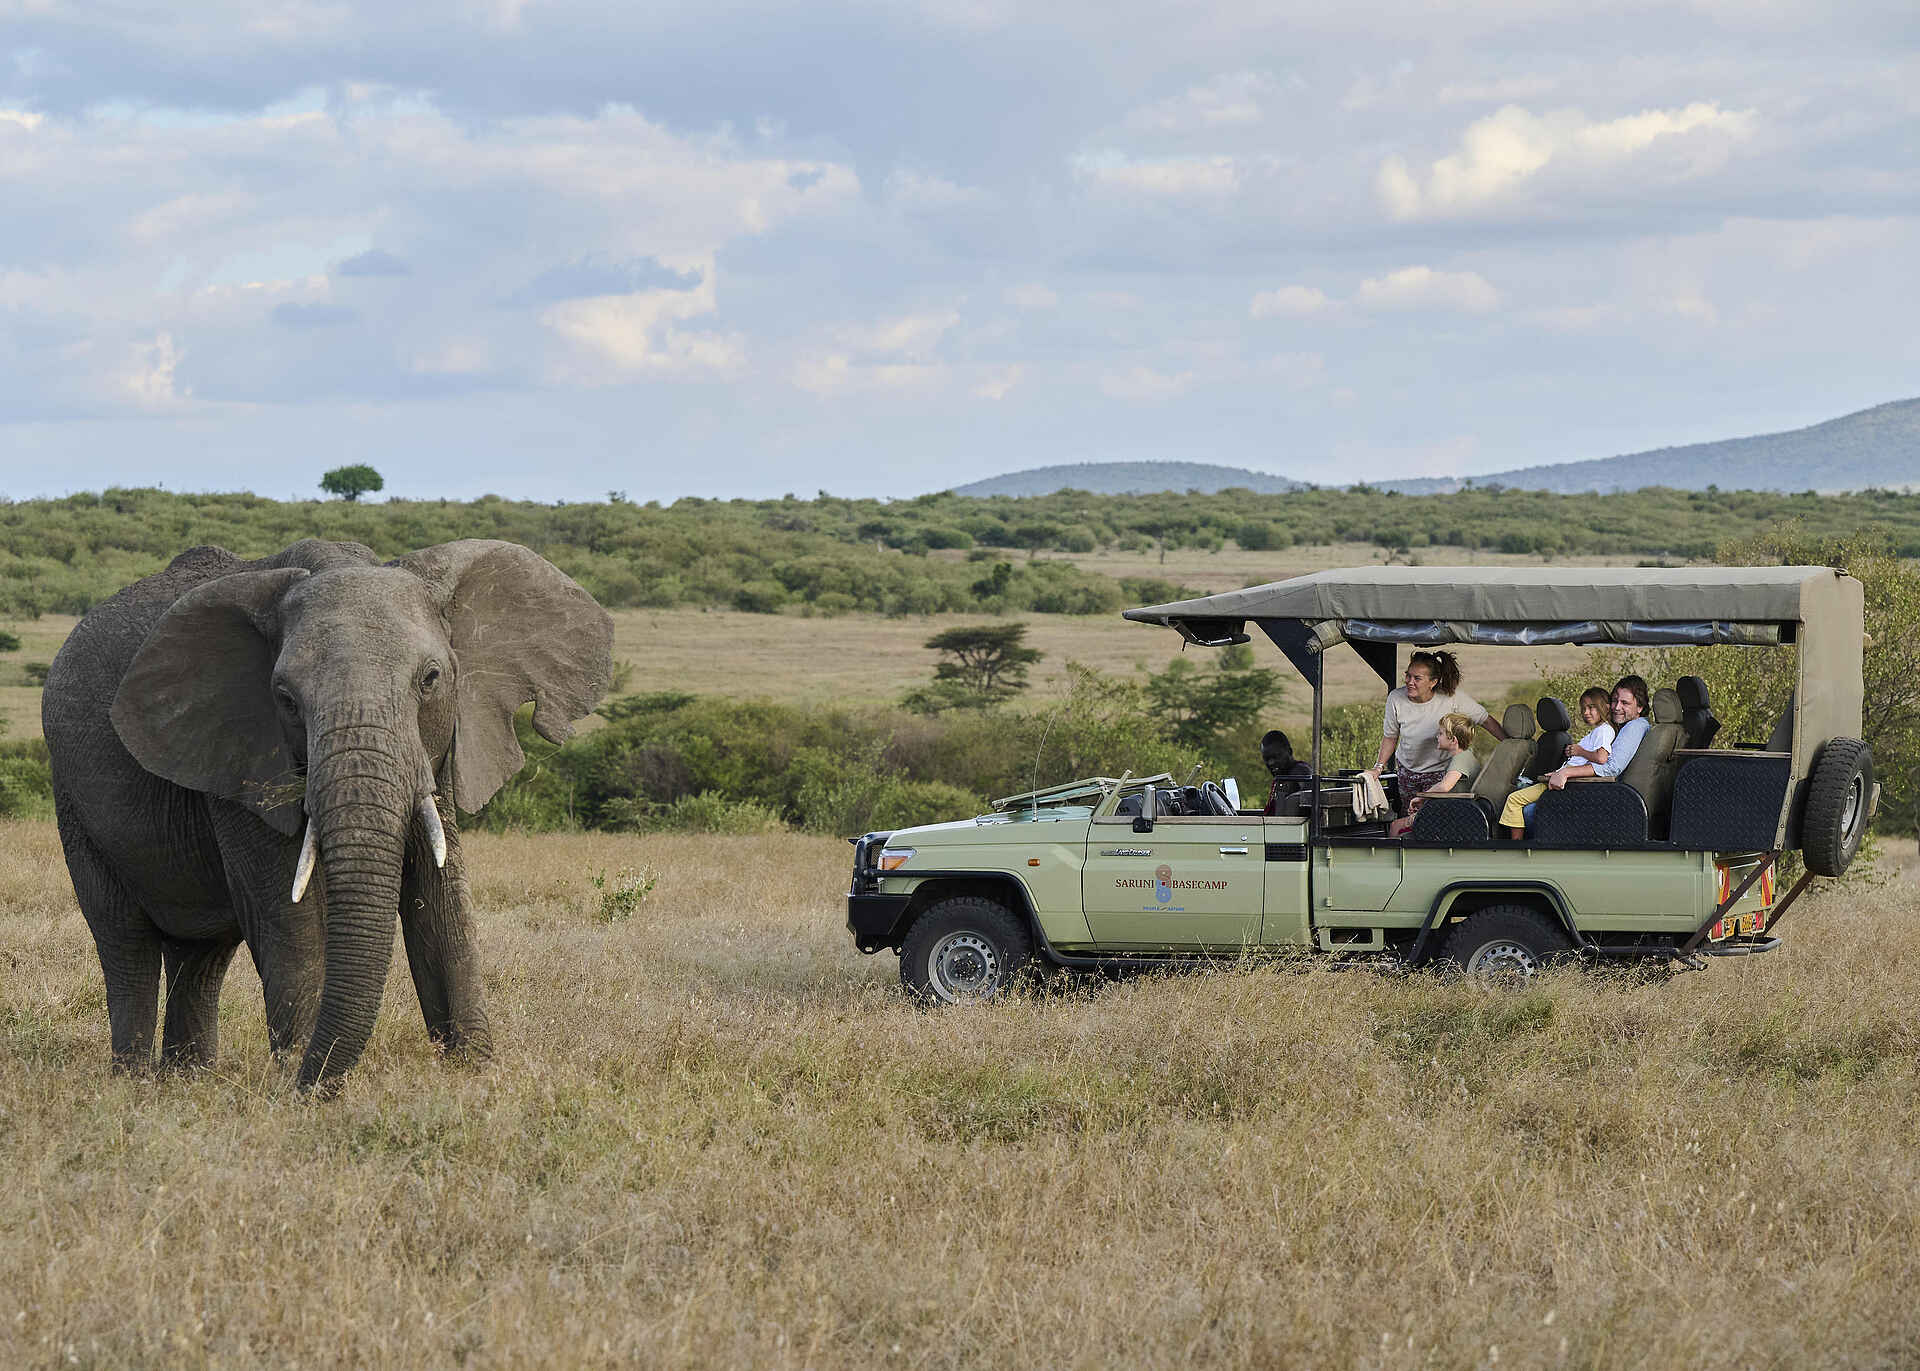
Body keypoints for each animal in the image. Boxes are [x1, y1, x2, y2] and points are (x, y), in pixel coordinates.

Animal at [41, 538, 613, 1093]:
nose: (307, 1083)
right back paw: (133, 1086)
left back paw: (187, 1083)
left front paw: (475, 1073)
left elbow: (442, 902)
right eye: (286, 699)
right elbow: (290, 915)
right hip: (72, 796)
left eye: (431, 679)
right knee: (125, 941)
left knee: (200, 955)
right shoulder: (240, 756)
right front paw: (302, 1088)